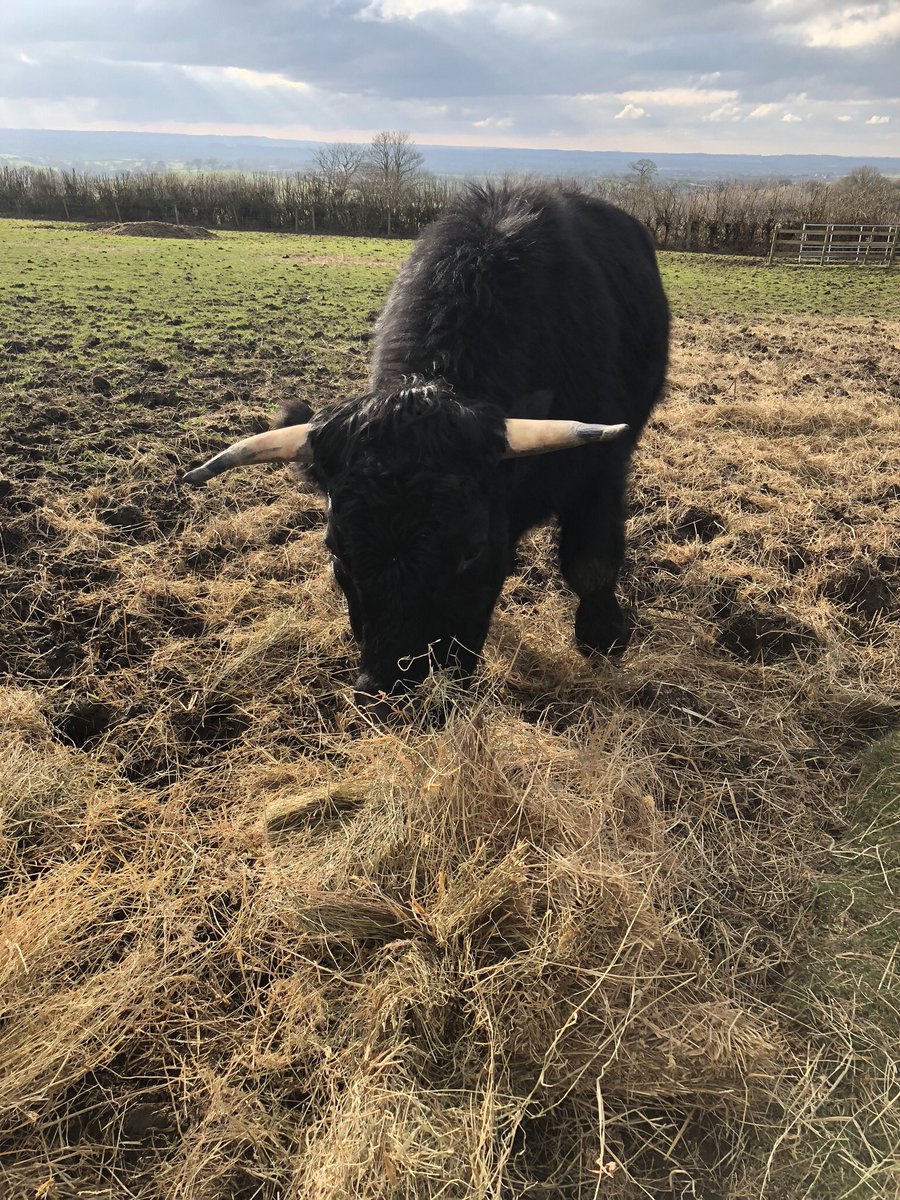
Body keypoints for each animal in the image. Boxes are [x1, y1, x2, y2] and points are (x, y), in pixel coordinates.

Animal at [184, 182, 669, 714]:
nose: (392, 688)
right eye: (336, 552)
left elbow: (592, 565)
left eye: (471, 550)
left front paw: (603, 637)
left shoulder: (601, 471)